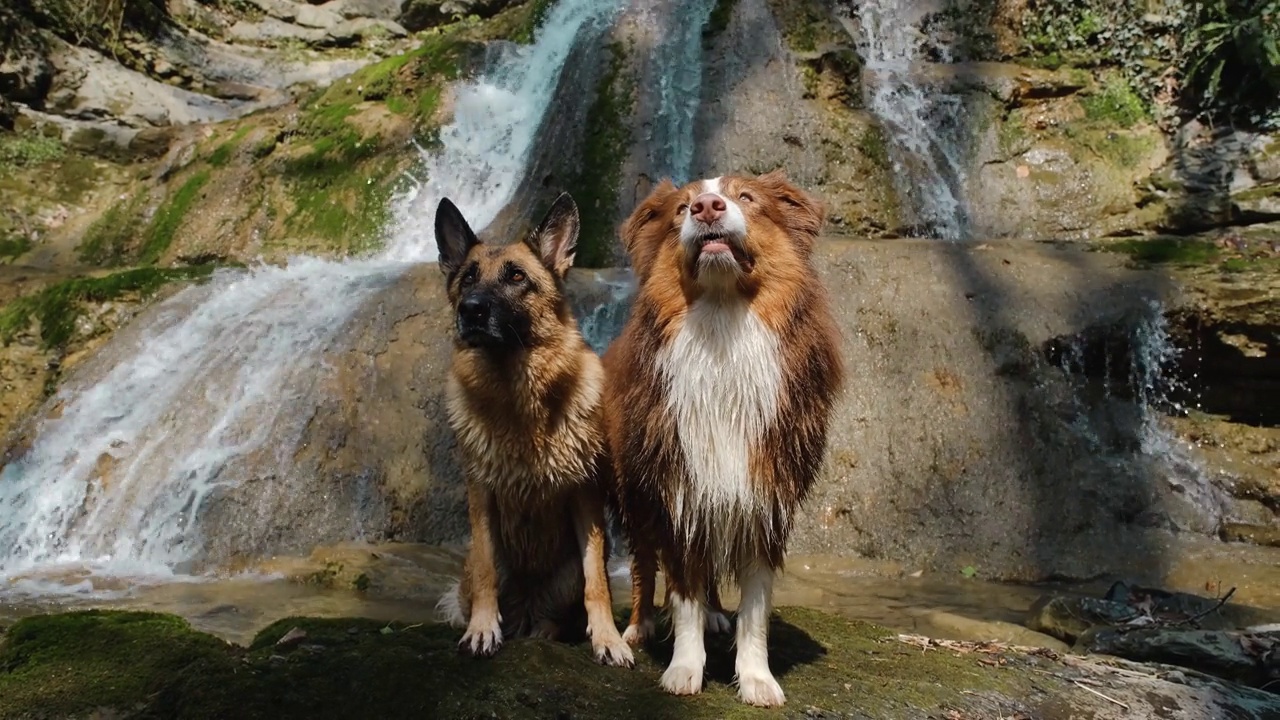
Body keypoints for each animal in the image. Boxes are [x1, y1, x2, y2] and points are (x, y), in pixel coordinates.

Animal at [437, 192, 637, 666]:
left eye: (516, 276)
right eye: (468, 278)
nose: (470, 310)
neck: (519, 402)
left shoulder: (585, 496)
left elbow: (597, 583)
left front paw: (608, 639)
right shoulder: (482, 496)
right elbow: (487, 571)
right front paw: (482, 630)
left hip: (564, 576)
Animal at [604, 170, 844, 702]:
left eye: (747, 197)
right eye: (681, 208)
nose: (707, 207)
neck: (722, 324)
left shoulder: (764, 496)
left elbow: (754, 607)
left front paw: (757, 679)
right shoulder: (678, 489)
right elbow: (682, 592)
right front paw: (684, 669)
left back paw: (717, 613)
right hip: (634, 487)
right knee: (643, 563)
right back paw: (638, 626)